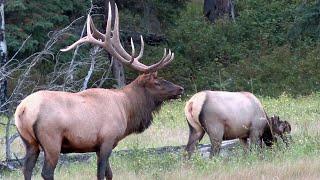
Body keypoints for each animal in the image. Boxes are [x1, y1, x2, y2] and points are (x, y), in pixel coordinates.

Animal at [15, 2, 184, 180]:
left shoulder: (99, 145)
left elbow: (109, 174)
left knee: (26, 169)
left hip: (29, 142)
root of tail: (23, 109)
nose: (180, 88)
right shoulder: (107, 140)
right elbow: (101, 173)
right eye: (157, 82)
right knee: (46, 172)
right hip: (52, 140)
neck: (127, 109)